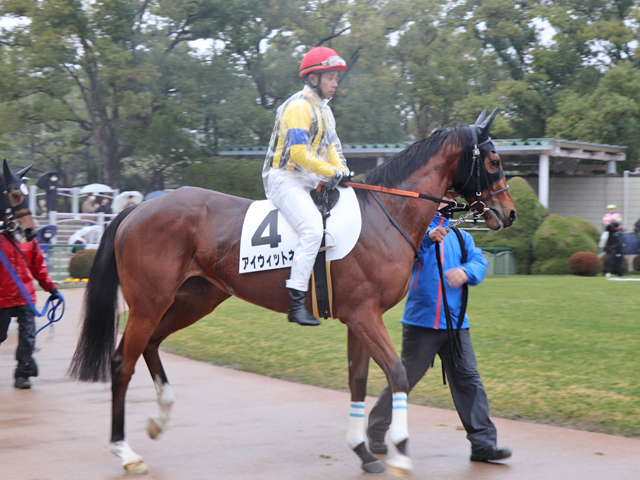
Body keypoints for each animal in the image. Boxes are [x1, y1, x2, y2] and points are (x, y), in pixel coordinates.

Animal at [69, 109, 516, 478]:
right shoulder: (364, 315)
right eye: (494, 161)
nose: (509, 213)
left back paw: (159, 419)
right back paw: (125, 452)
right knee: (121, 363)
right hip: (150, 303)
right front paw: (401, 453)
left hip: (195, 299)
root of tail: (137, 209)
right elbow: (397, 372)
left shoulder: (358, 317)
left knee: (152, 345)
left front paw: (363, 452)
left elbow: (358, 379)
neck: (384, 215)